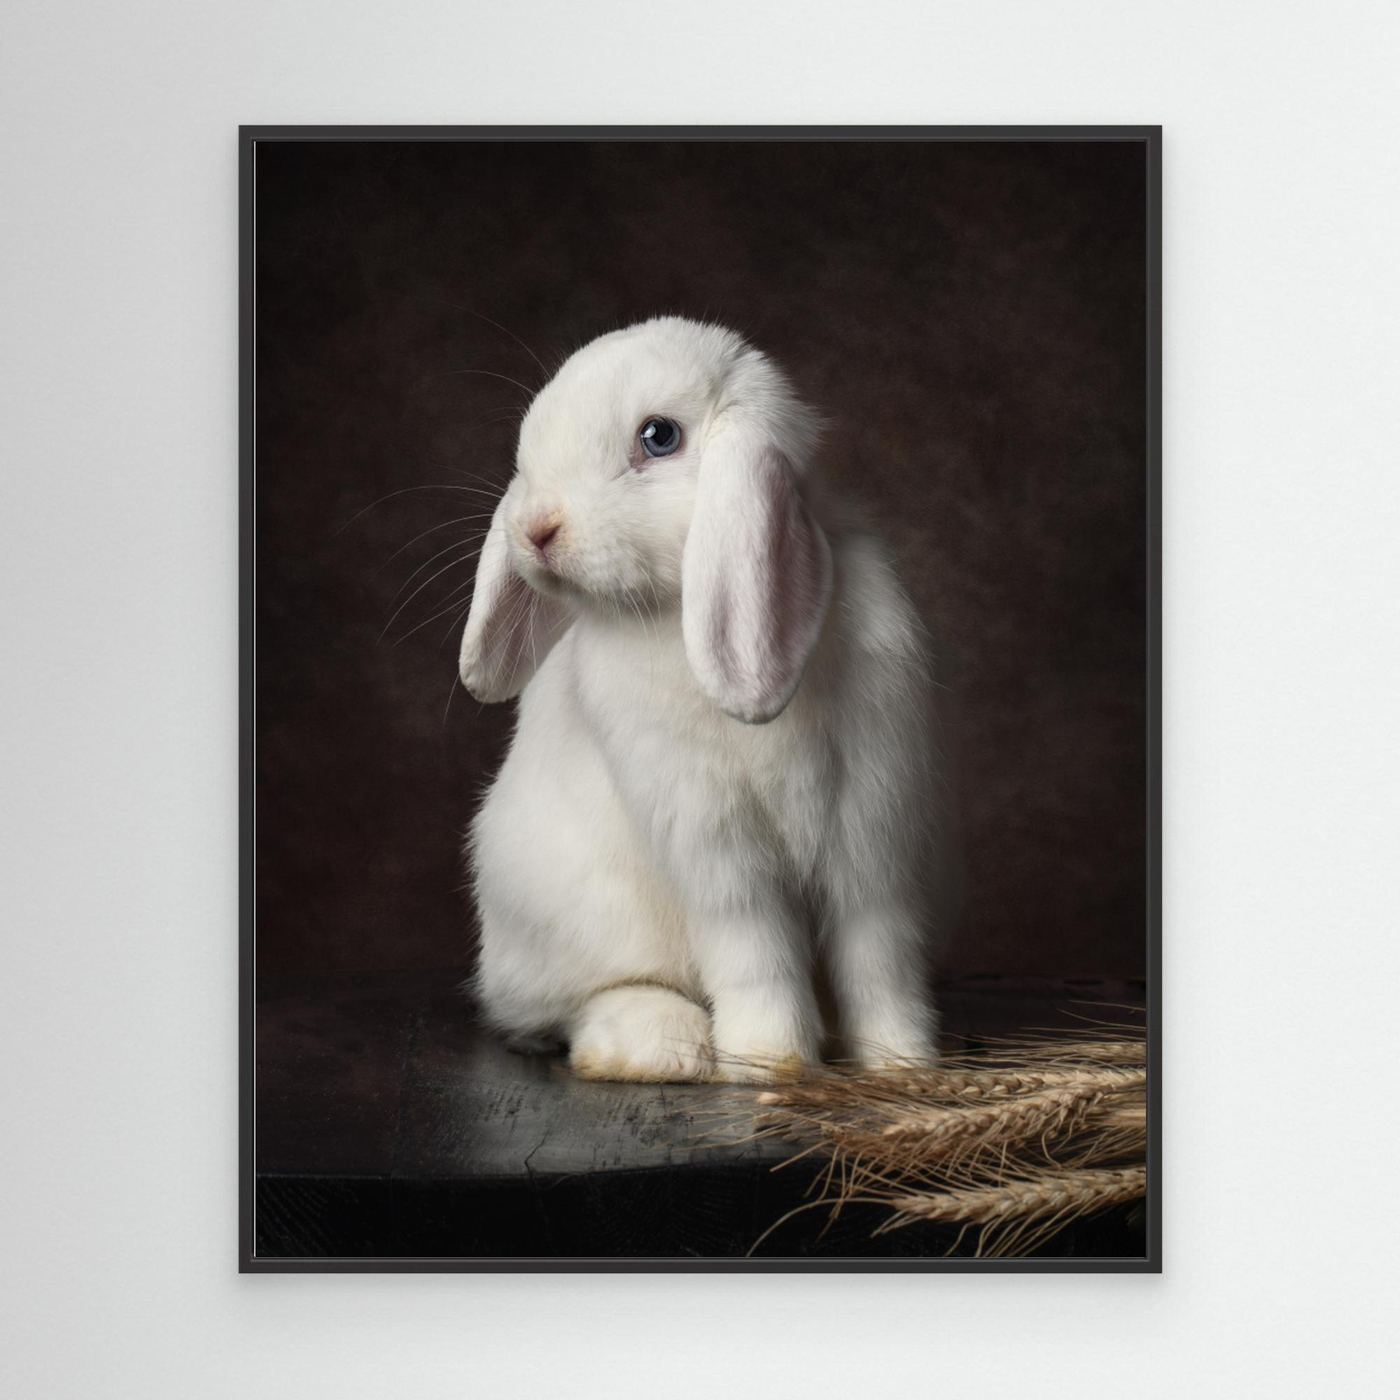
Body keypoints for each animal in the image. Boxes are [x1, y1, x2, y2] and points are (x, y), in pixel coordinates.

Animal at [458, 316, 939, 1083]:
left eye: (659, 437)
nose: (535, 529)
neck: (672, 608)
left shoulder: (869, 831)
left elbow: (878, 954)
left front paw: (902, 1064)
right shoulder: (714, 844)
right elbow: (755, 951)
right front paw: (771, 1064)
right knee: (570, 1007)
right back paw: (660, 1047)